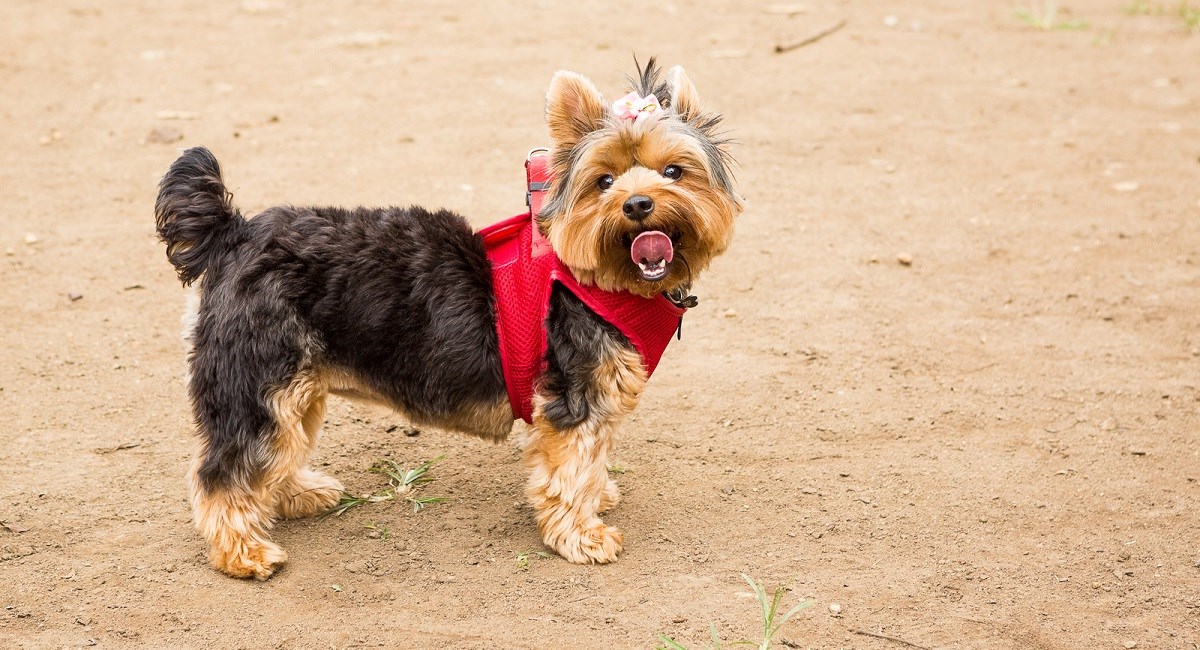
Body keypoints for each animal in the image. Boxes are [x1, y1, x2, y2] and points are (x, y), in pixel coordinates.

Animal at [156, 59, 744, 580]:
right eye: (603, 181)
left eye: (674, 171)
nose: (639, 203)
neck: (599, 277)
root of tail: (232, 234)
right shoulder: (575, 399)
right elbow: (572, 470)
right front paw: (582, 535)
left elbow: (595, 459)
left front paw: (600, 499)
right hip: (256, 378)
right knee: (224, 469)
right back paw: (243, 552)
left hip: (294, 384)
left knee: (278, 447)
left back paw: (299, 493)